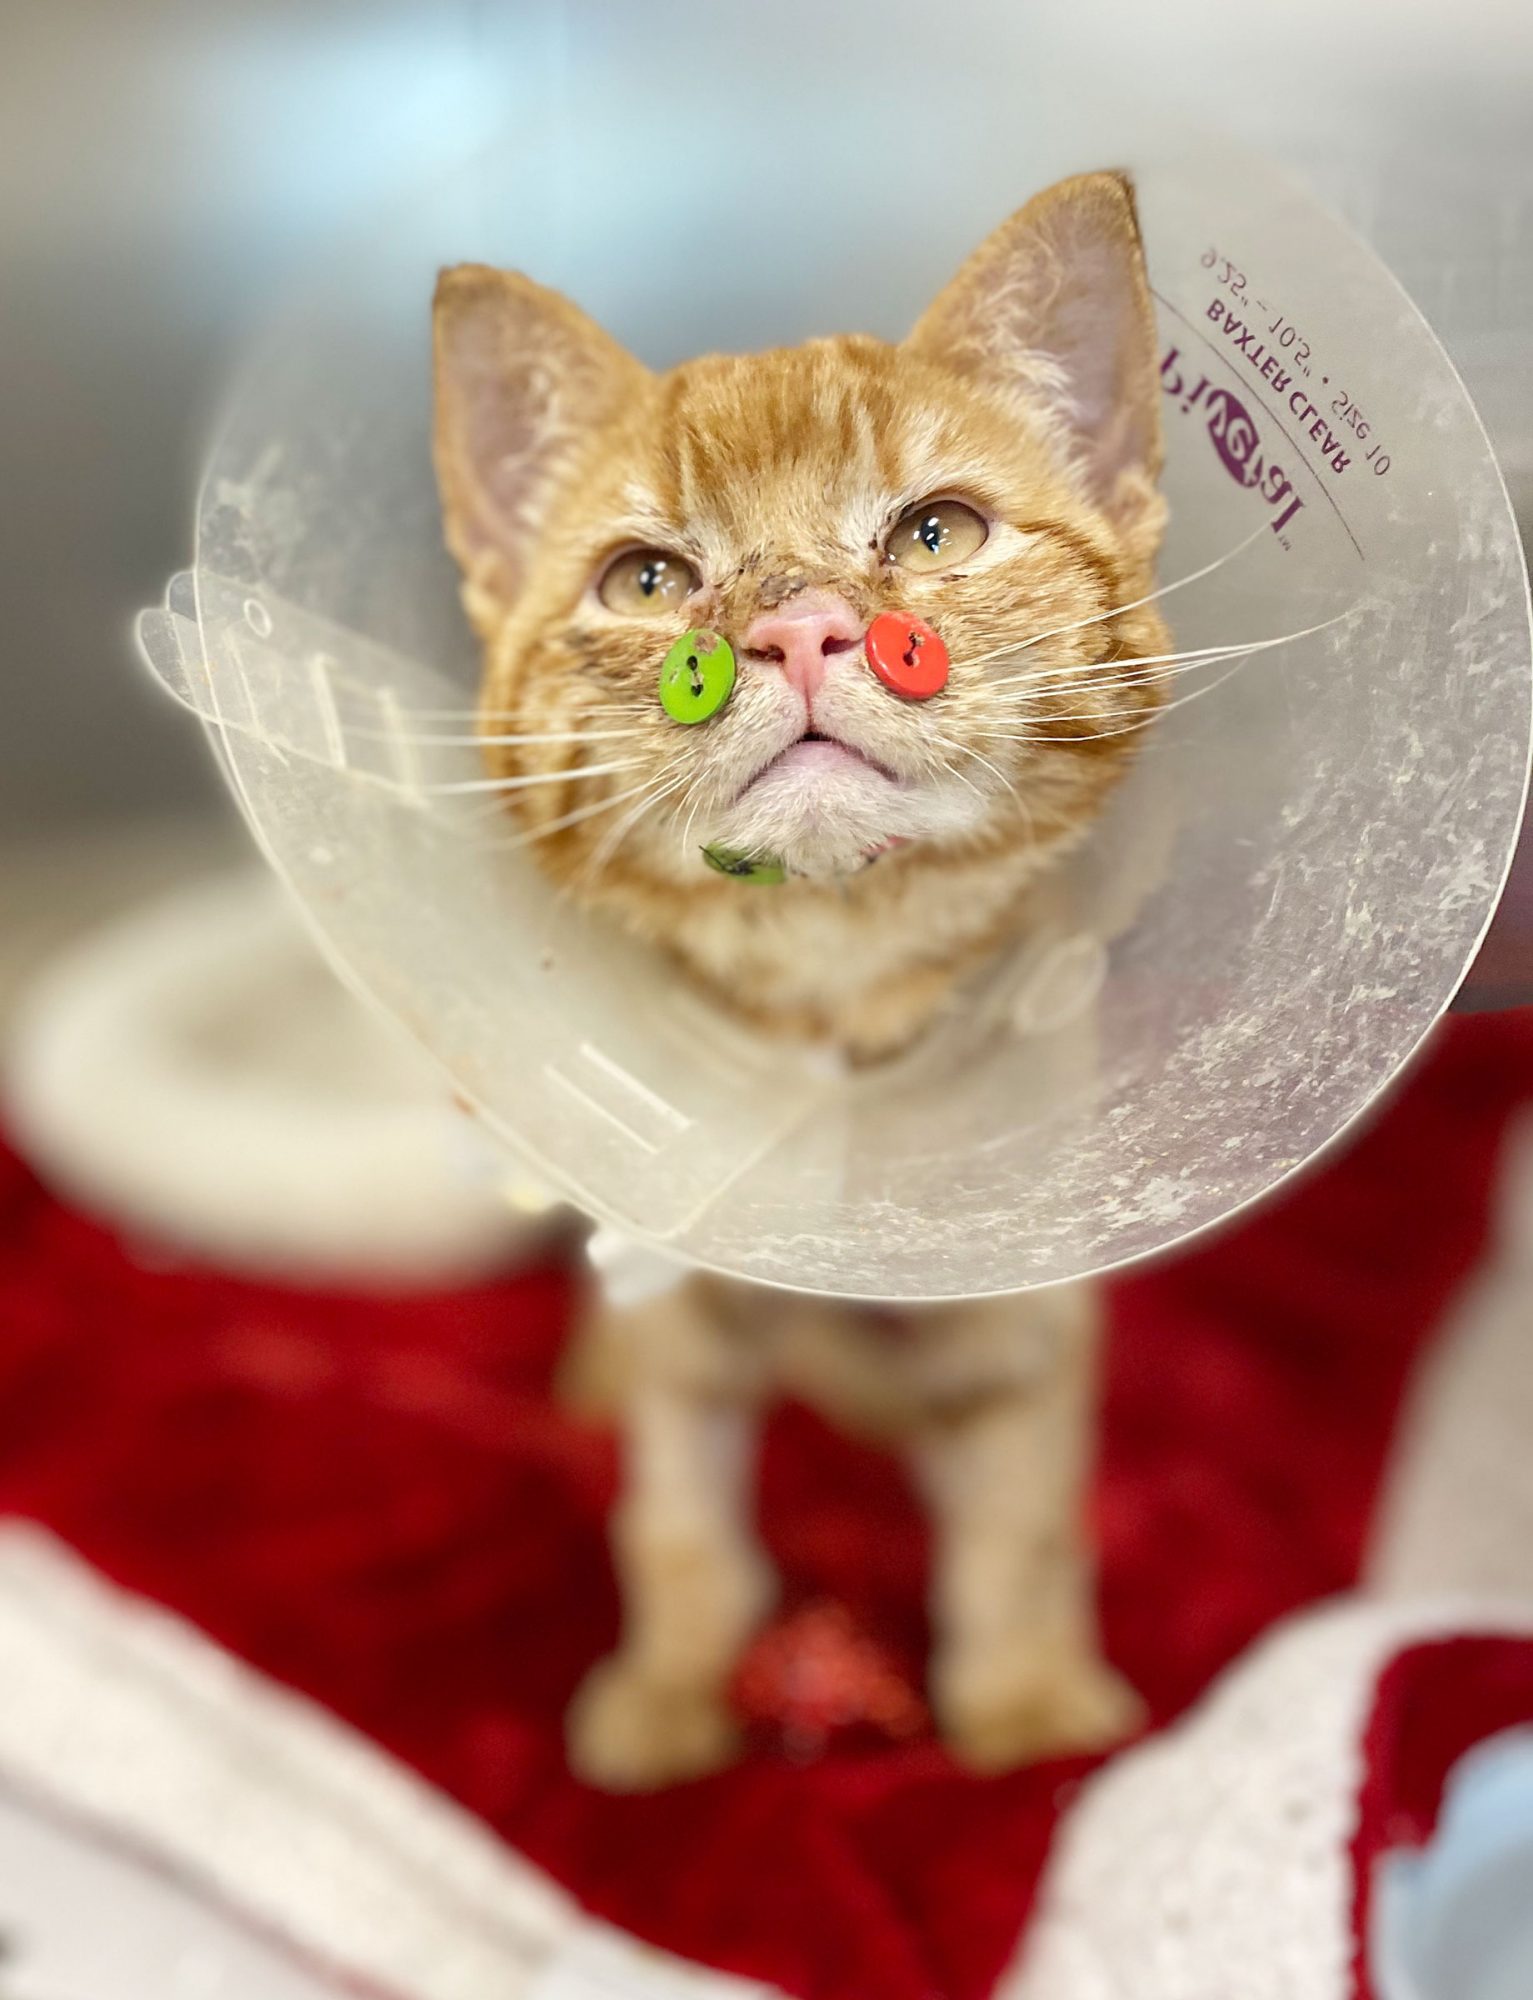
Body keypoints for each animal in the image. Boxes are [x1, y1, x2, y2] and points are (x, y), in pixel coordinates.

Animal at [438, 172, 1168, 1792]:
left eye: (938, 533)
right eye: (648, 579)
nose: (798, 630)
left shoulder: (1030, 1291)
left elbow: (1021, 1503)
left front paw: (1025, 1705)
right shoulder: (685, 1307)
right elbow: (679, 1514)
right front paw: (671, 1689)